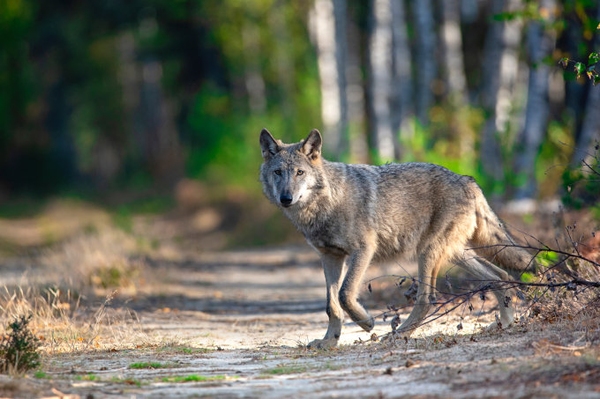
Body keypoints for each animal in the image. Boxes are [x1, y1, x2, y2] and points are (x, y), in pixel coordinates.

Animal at [260, 129, 532, 350]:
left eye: (299, 172)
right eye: (278, 172)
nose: (286, 198)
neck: (327, 203)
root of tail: (467, 180)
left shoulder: (363, 250)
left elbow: (345, 294)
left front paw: (366, 322)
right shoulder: (330, 257)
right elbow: (331, 304)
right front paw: (329, 342)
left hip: (427, 252)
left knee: (427, 298)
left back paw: (399, 334)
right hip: (455, 254)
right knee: (500, 276)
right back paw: (506, 323)